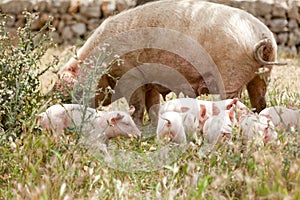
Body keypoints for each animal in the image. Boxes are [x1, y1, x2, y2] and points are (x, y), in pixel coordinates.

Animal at [54, 0, 286, 125]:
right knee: (260, 102)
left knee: (232, 103)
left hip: (230, 74)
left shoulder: (131, 76)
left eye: (69, 89)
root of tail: (263, 37)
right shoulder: (149, 82)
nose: (49, 99)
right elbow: (153, 105)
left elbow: (137, 106)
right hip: (261, 74)